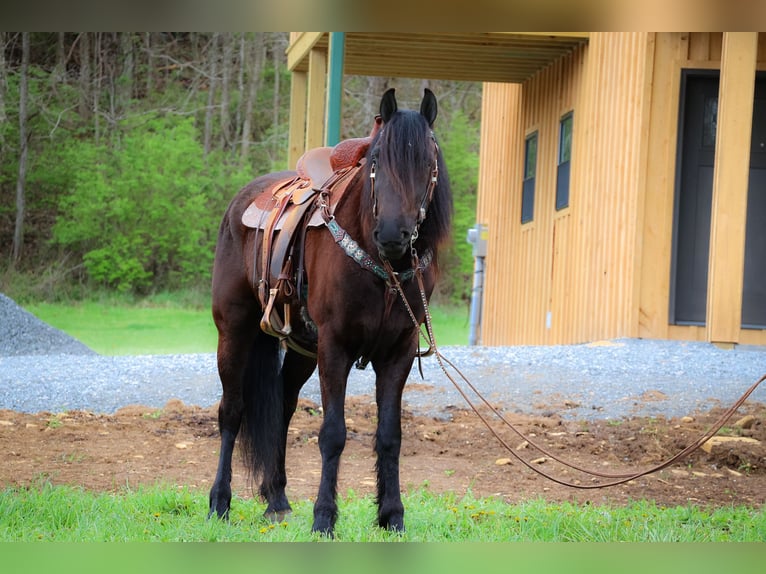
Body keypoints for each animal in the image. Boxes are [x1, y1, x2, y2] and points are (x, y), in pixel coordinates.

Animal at [207, 88, 452, 536]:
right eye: (376, 162)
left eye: (429, 162)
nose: (392, 235)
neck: (384, 267)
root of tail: (241, 202)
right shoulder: (335, 348)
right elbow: (333, 433)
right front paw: (323, 518)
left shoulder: (398, 353)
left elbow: (390, 435)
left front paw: (392, 516)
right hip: (234, 330)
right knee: (231, 412)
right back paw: (219, 502)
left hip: (303, 349)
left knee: (282, 407)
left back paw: (277, 500)